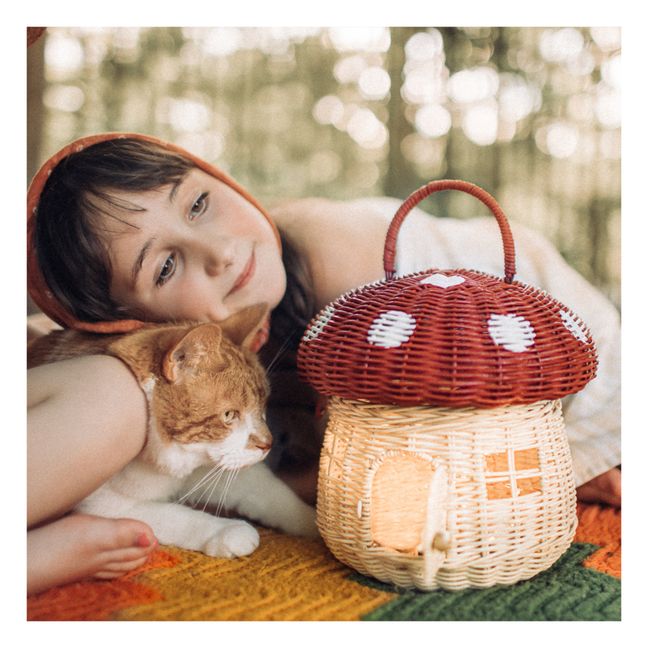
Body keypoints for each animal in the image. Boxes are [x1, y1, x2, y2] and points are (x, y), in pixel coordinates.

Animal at [27, 306, 318, 560]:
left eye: (262, 408)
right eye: (229, 415)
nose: (267, 443)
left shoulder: (215, 468)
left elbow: (270, 493)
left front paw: (316, 524)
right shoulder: (101, 504)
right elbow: (174, 515)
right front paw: (226, 530)